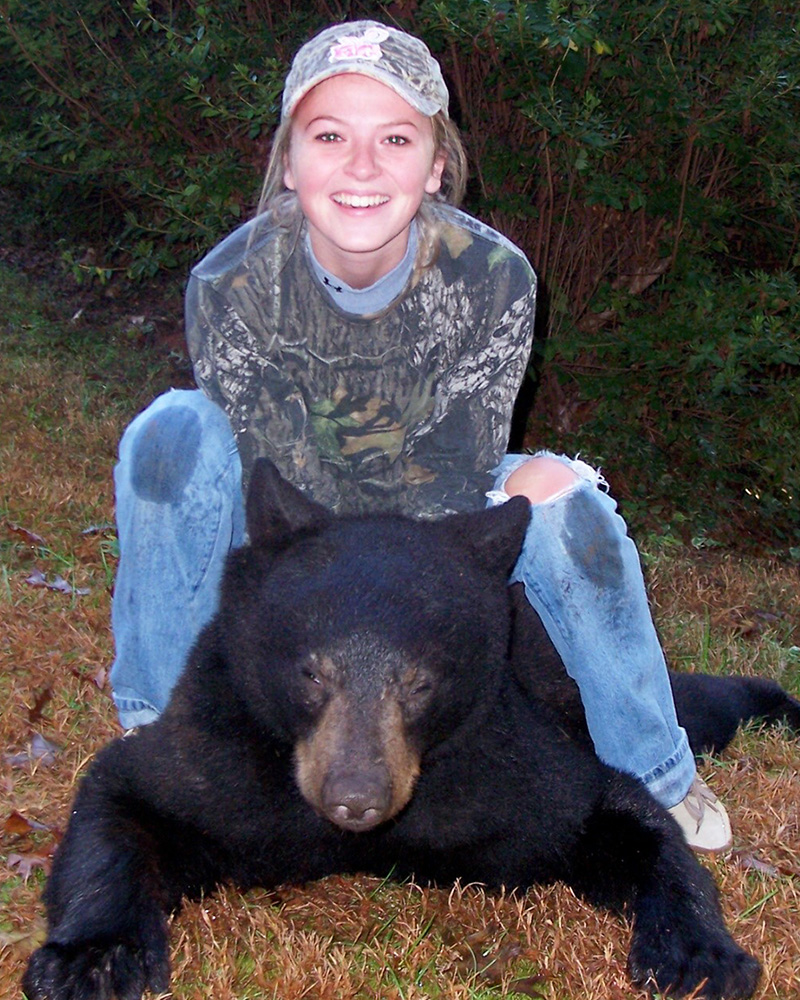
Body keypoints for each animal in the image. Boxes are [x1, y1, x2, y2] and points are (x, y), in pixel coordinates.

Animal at [23, 458, 800, 1000]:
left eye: (420, 682)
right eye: (311, 672)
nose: (354, 799)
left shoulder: (509, 765)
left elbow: (618, 816)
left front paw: (701, 952)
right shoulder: (221, 751)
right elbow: (122, 797)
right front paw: (93, 955)